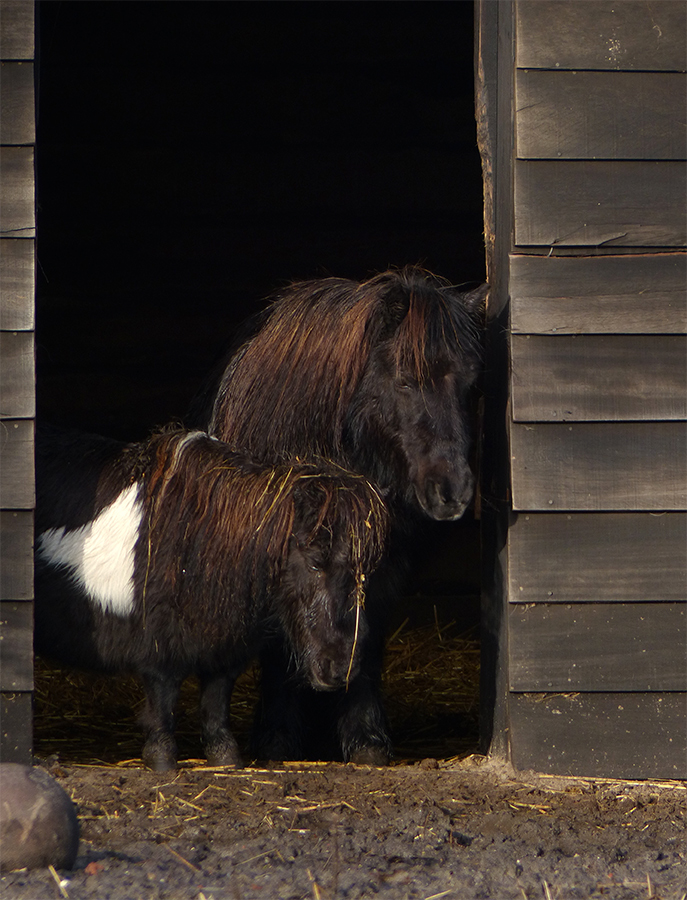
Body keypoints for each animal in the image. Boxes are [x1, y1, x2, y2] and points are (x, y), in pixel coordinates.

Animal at [33, 426, 388, 768]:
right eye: (315, 562)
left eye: (365, 571)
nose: (340, 667)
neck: (201, 537)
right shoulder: (159, 645)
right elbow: (163, 697)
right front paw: (161, 758)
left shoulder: (224, 648)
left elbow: (216, 701)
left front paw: (225, 758)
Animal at [191, 264, 486, 764]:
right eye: (405, 379)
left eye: (469, 382)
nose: (453, 491)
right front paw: (277, 738)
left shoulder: (380, 562)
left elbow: (364, 635)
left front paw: (366, 738)